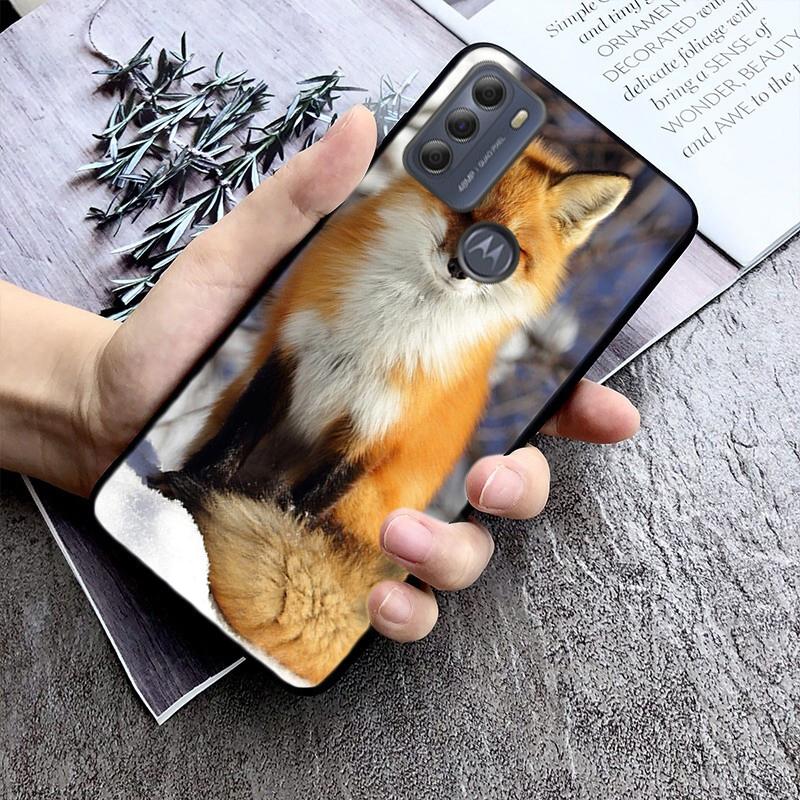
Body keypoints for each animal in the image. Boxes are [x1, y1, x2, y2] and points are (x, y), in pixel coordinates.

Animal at [154, 139, 631, 685]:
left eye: (508, 250)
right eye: (465, 210)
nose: (460, 268)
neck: (392, 323)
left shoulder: (379, 426)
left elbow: (302, 503)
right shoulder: (288, 357)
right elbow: (231, 445)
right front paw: (180, 489)